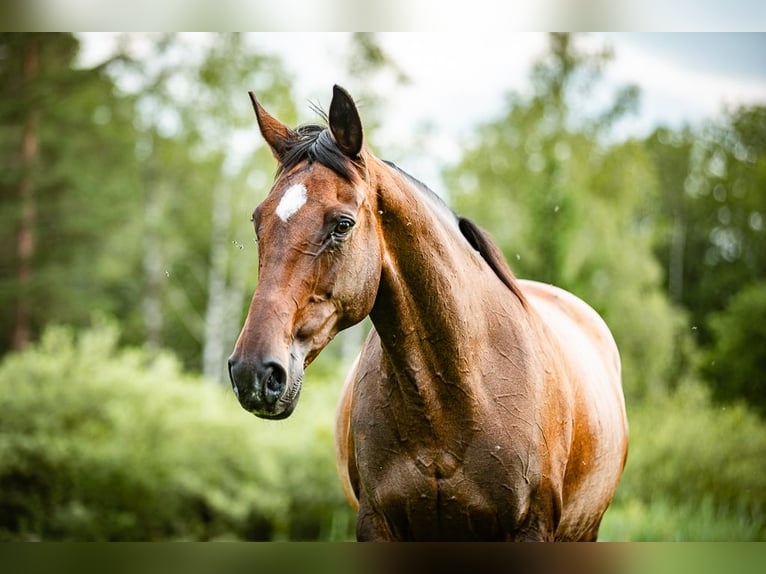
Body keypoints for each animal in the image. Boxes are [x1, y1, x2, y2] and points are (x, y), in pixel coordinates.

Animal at [228, 83, 632, 544]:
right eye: (258, 222)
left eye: (343, 224)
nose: (253, 372)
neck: (453, 399)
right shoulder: (377, 525)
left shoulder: (530, 529)